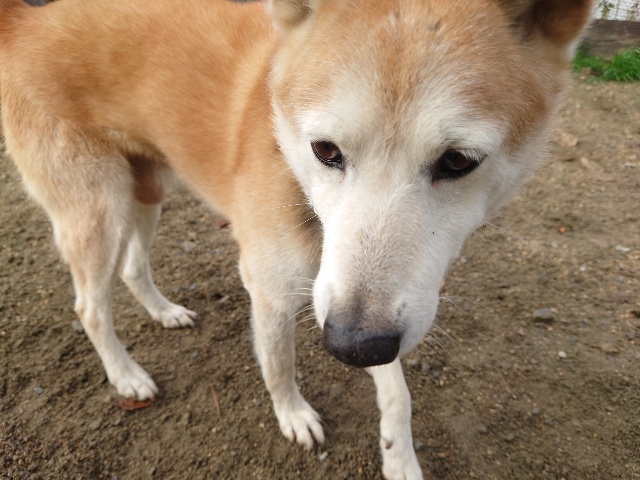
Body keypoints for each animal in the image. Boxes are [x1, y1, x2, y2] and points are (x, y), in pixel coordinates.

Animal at [0, 0, 593, 478]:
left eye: (458, 161)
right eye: (325, 150)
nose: (351, 349)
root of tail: (26, 21)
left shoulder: (370, 308)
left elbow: (397, 392)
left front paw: (399, 456)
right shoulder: (272, 292)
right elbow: (279, 364)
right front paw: (294, 416)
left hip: (148, 189)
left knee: (131, 266)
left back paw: (164, 311)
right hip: (97, 211)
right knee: (90, 306)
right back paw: (127, 376)